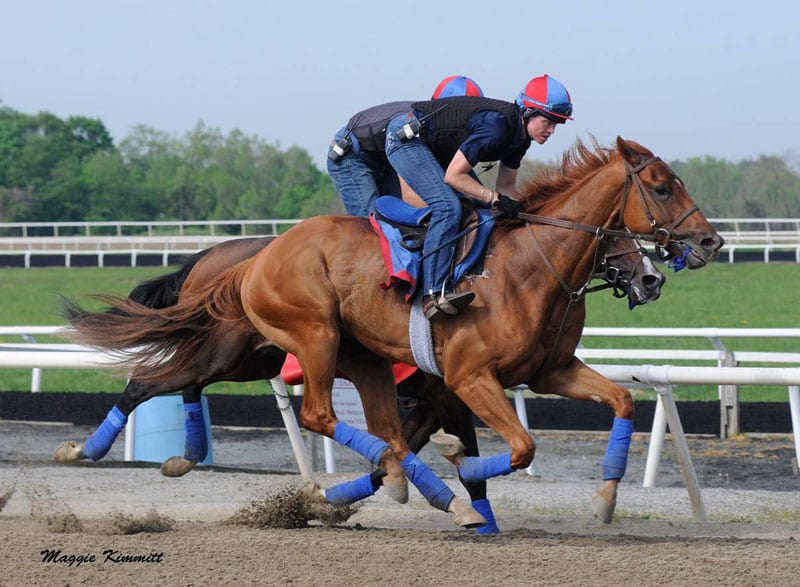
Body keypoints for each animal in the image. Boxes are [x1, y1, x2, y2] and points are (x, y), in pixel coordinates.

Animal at [65, 137, 720, 528]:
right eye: (662, 186)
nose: (708, 242)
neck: (527, 266)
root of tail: (253, 260)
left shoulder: (546, 371)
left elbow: (622, 401)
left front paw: (604, 499)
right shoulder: (465, 380)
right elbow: (516, 448)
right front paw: (458, 488)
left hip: (330, 358)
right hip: (301, 339)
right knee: (261, 402)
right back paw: (89, 449)